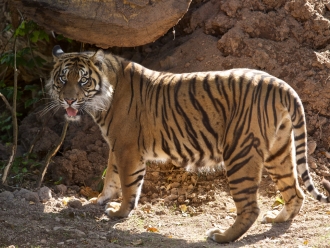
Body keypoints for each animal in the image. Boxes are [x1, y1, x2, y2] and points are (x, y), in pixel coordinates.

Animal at [47, 45, 330, 243]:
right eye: (62, 79)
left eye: (83, 80)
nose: (69, 100)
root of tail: (279, 83)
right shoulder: (116, 145)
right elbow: (111, 176)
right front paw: (101, 200)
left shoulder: (127, 147)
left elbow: (128, 184)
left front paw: (119, 212)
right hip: (278, 151)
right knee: (295, 191)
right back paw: (278, 218)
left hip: (240, 153)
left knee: (250, 207)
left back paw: (221, 237)